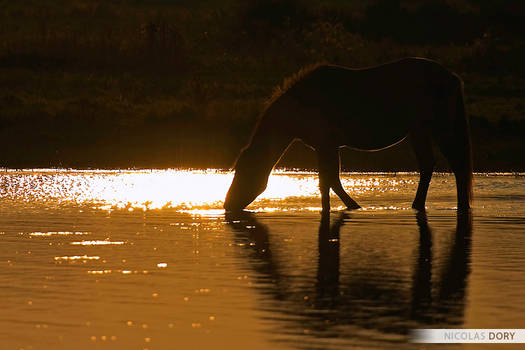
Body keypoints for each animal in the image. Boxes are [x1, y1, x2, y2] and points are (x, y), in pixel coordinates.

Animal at [223, 56, 472, 213]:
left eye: (244, 171)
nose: (227, 205)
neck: (300, 106)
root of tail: (451, 77)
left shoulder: (326, 145)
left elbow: (330, 181)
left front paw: (351, 207)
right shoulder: (324, 147)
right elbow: (328, 181)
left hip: (437, 129)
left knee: (456, 165)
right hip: (421, 132)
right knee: (431, 165)